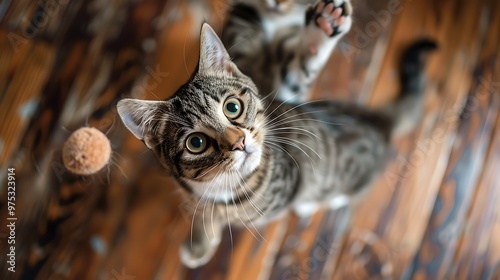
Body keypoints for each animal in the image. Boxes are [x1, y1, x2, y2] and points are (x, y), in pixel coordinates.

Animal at [116, 0, 434, 268]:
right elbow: (205, 217)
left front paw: (323, 28)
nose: (239, 142)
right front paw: (200, 244)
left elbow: (297, 67)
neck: (222, 189)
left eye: (233, 107)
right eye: (196, 143)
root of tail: (377, 119)